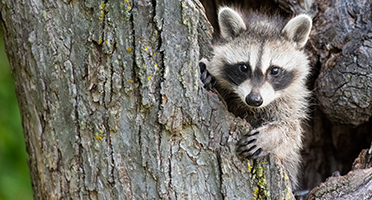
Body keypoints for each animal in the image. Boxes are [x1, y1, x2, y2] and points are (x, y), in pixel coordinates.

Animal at [199, 6, 312, 188]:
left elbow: (292, 133)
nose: (254, 99)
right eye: (244, 67)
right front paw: (209, 72)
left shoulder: (290, 102)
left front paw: (272, 136)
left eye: (274, 70)